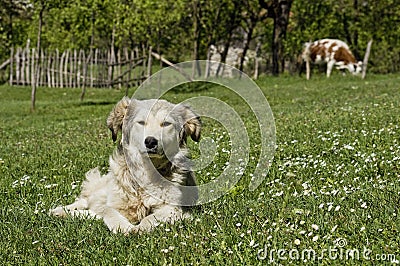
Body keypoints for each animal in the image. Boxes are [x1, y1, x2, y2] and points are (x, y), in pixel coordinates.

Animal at [50, 96, 200, 234]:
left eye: (166, 123)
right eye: (141, 122)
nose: (150, 142)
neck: (146, 172)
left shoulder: (173, 209)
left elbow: (150, 218)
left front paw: (139, 228)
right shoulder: (115, 204)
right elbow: (109, 212)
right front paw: (123, 227)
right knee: (86, 201)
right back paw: (59, 210)